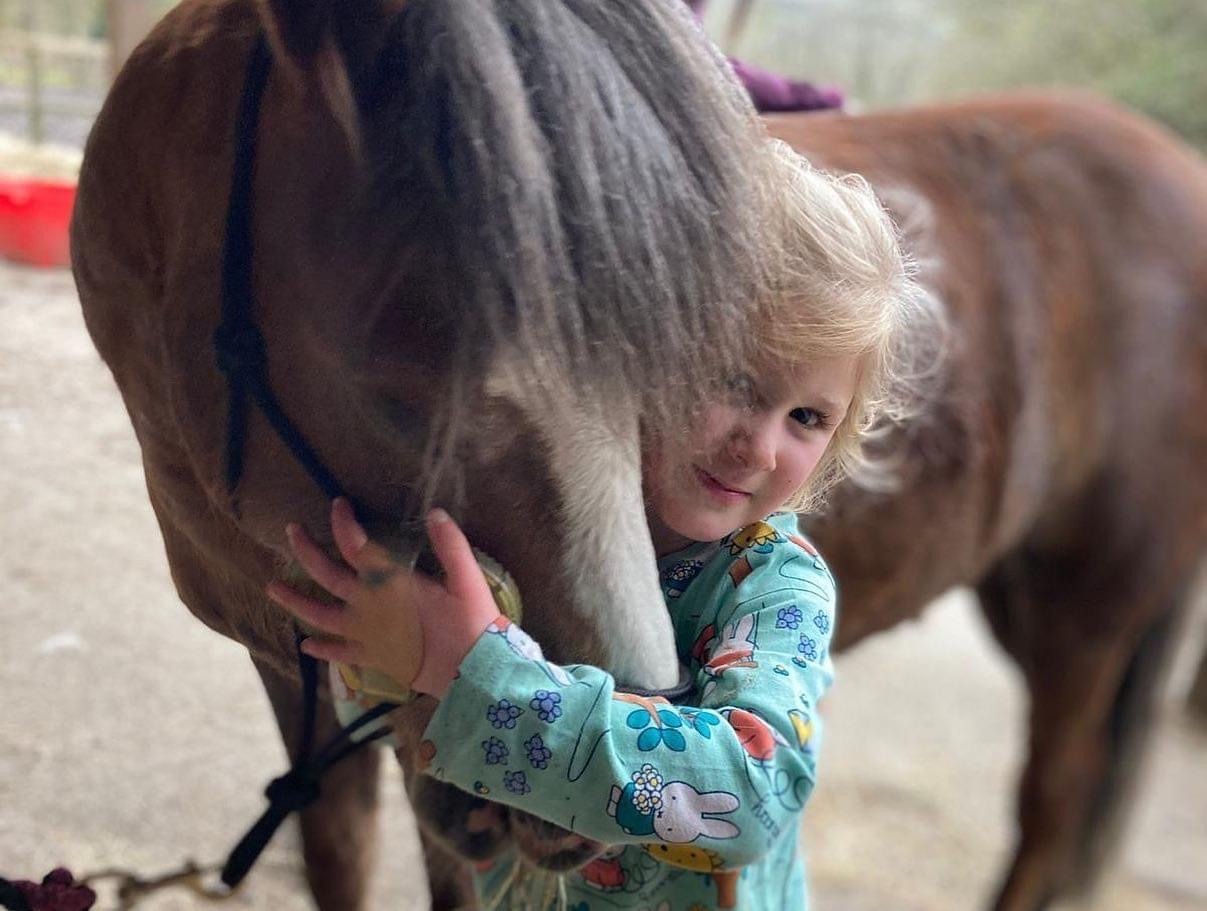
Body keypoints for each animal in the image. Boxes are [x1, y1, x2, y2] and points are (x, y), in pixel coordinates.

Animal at [70, 2, 1207, 911]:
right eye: (394, 368)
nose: (629, 705)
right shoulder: (294, 679)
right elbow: (335, 854)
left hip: (1088, 609)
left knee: (1050, 801)